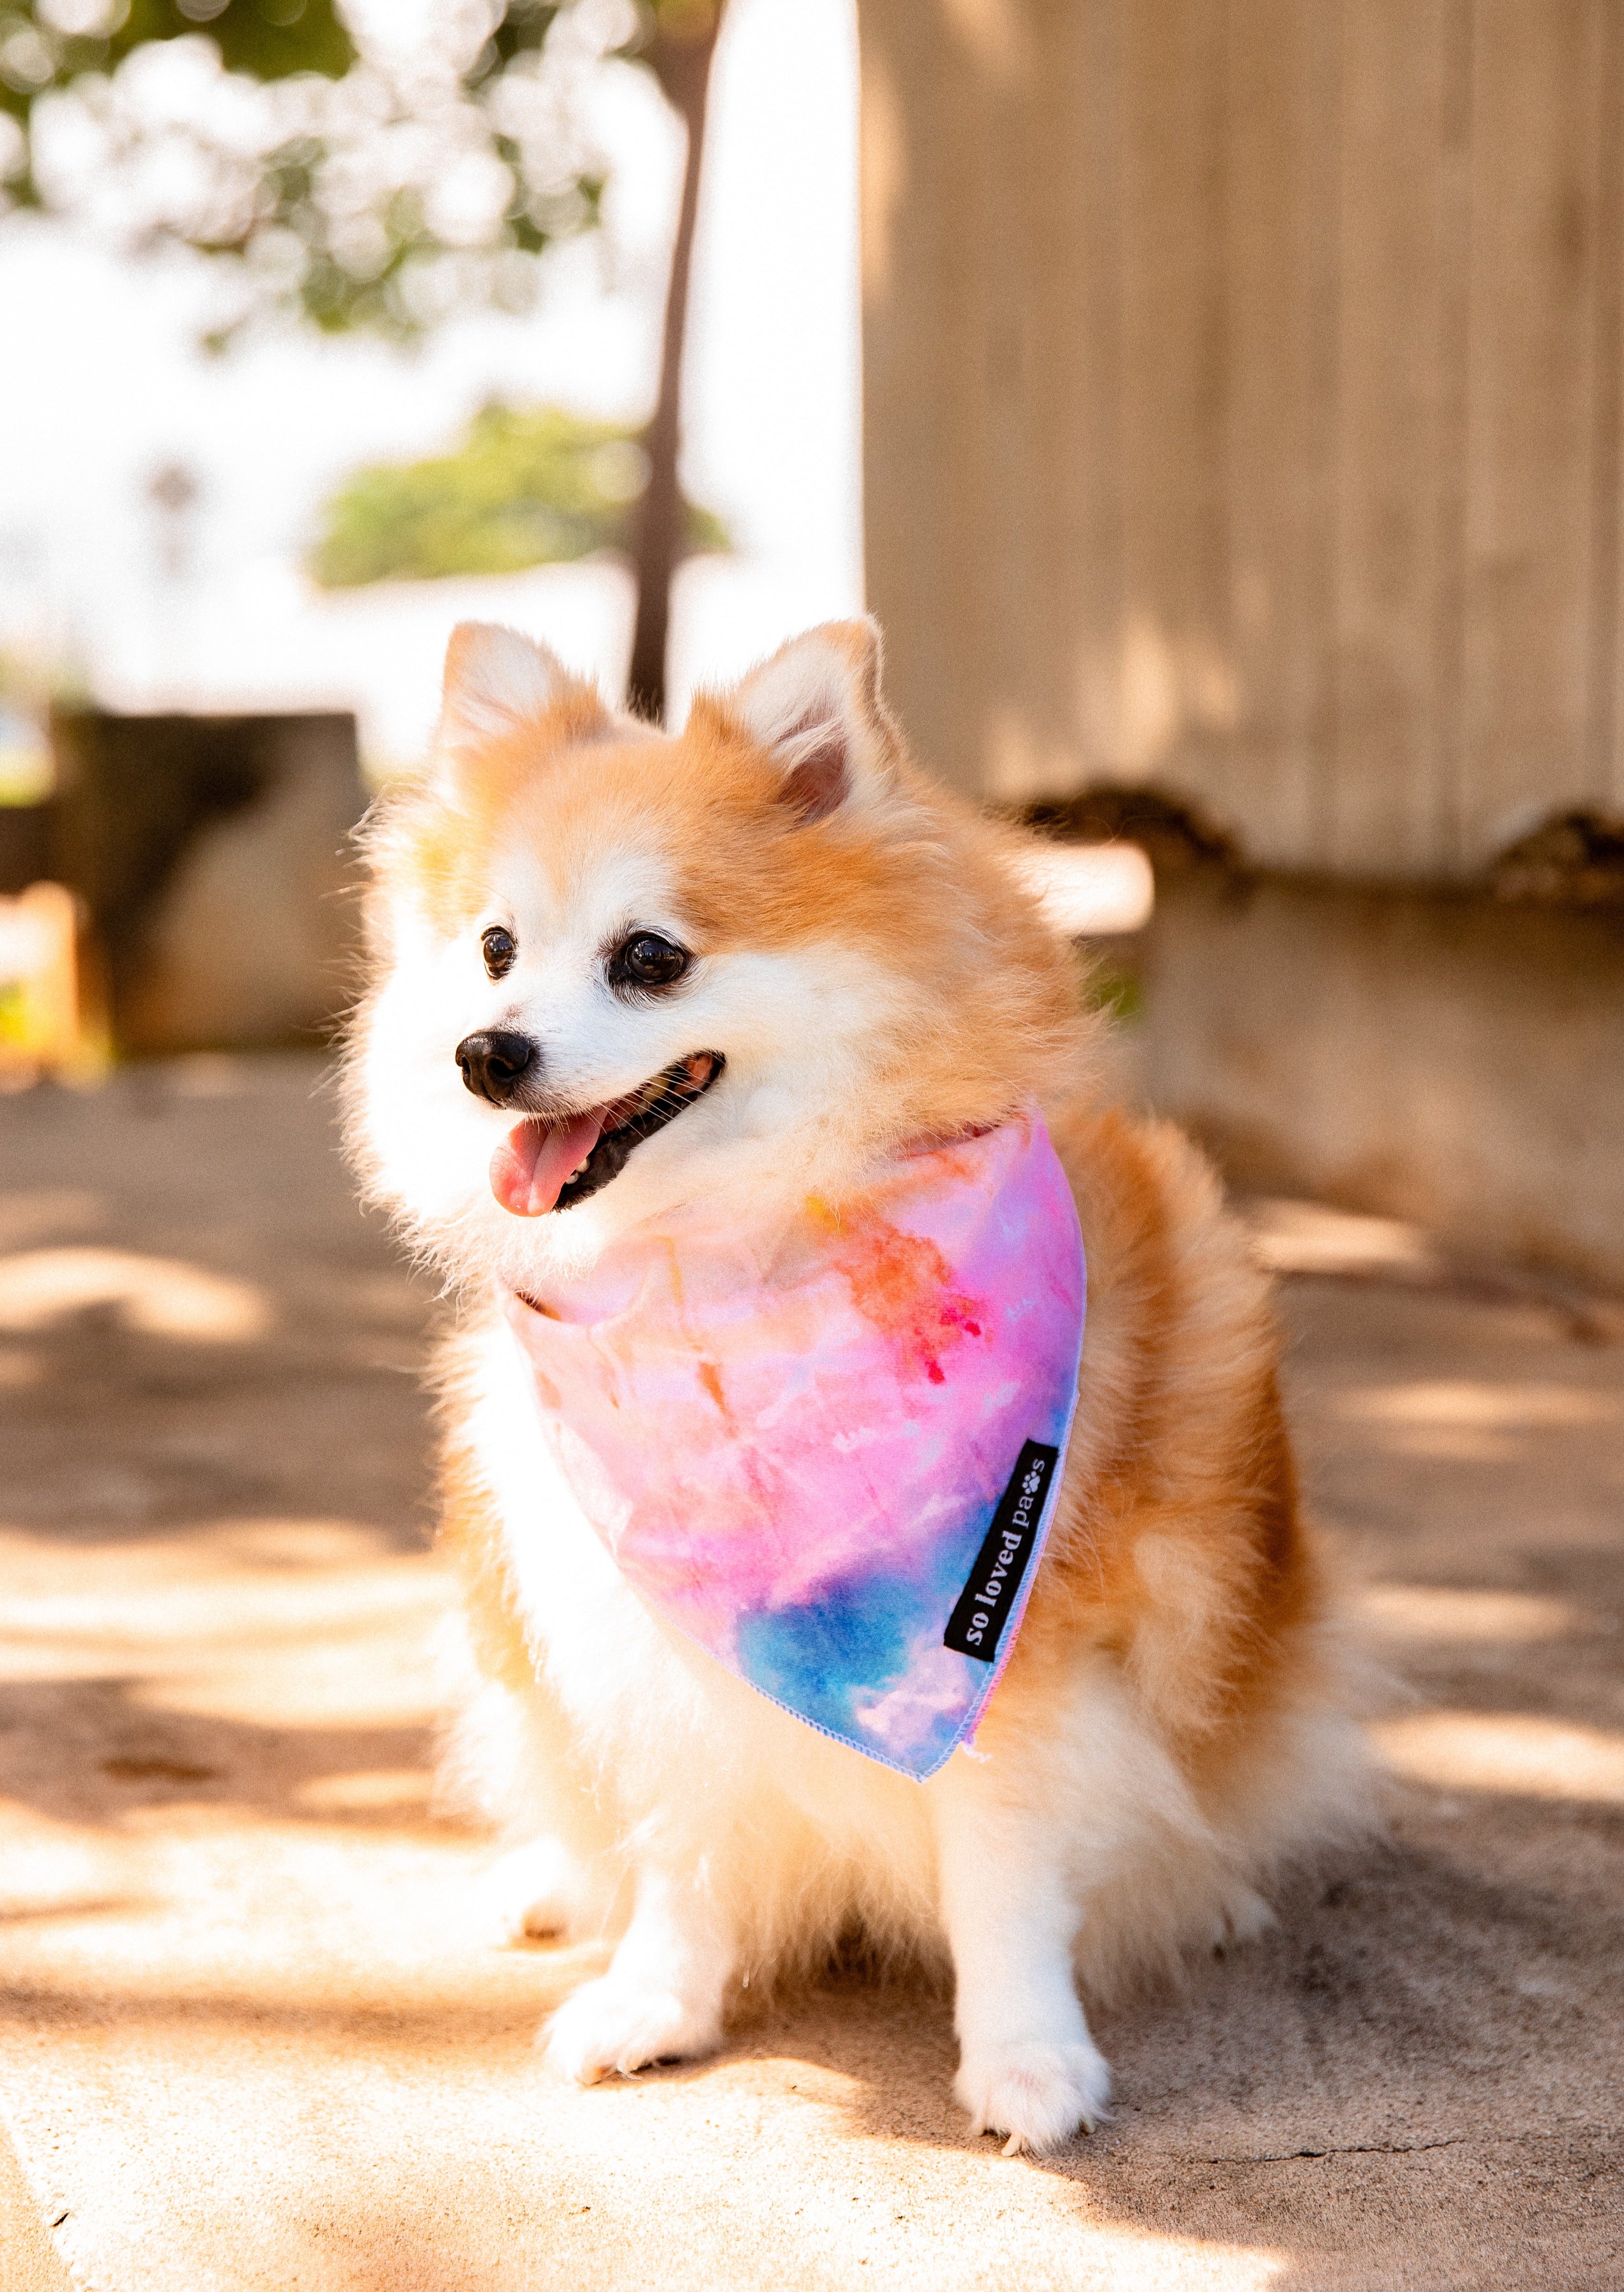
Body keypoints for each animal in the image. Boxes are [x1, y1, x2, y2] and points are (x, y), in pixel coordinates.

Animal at [348, 614, 1367, 2145]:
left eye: (648, 956)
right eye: (494, 951)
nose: (488, 1053)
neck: (733, 1270)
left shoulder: (1013, 1638)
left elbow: (1004, 1867)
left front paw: (1026, 2056)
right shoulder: (657, 1622)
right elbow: (683, 1838)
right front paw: (658, 1999)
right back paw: (554, 1884)